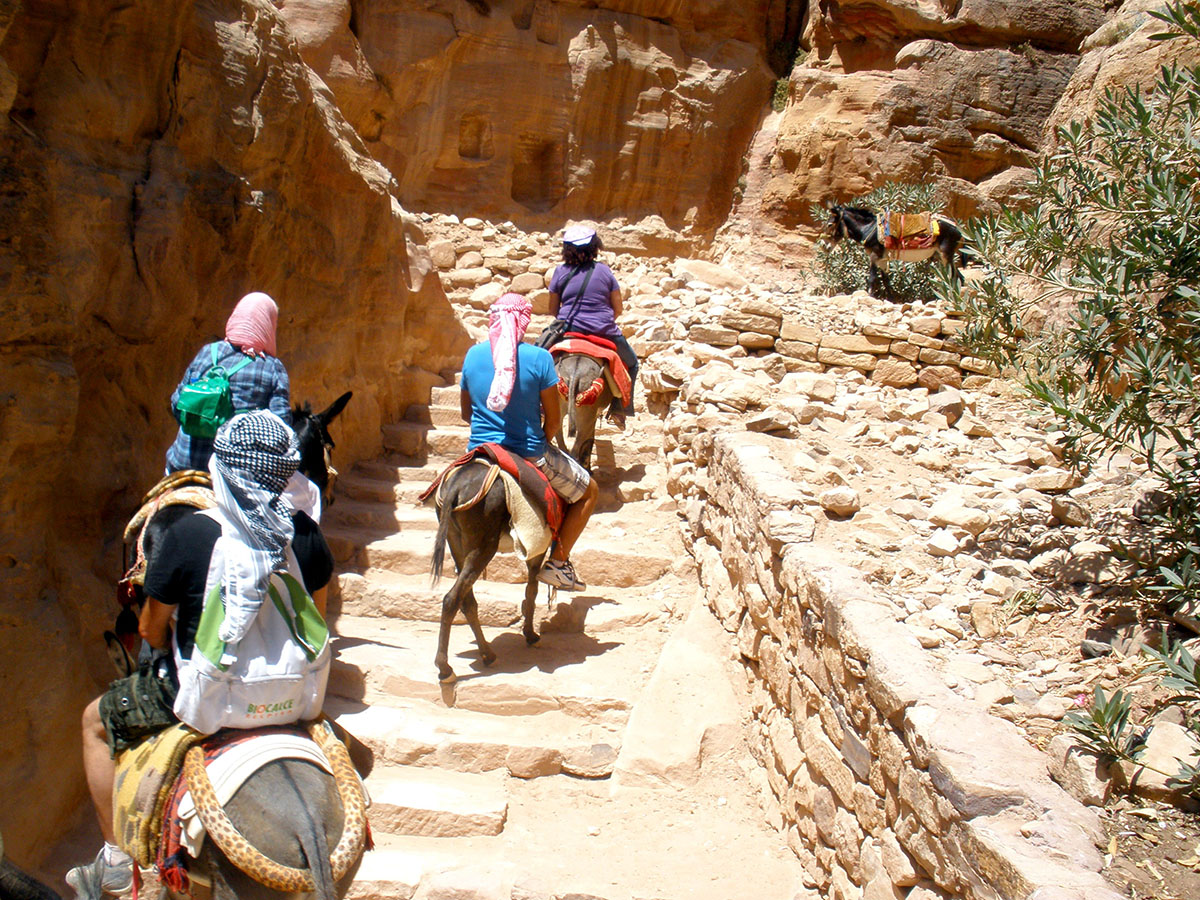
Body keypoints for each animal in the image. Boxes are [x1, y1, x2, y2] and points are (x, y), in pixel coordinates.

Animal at [430, 463, 547, 683]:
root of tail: (455, 487)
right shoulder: (537, 549)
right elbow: (532, 591)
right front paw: (530, 635)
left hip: (457, 543)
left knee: (466, 601)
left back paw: (487, 654)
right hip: (483, 546)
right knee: (452, 599)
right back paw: (445, 668)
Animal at [826, 204, 964, 299]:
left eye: (829, 224)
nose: (825, 246)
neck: (869, 228)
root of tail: (957, 228)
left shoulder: (874, 256)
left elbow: (872, 278)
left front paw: (870, 296)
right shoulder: (882, 259)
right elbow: (886, 281)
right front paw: (891, 299)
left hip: (946, 255)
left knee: (953, 277)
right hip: (941, 256)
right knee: (959, 277)